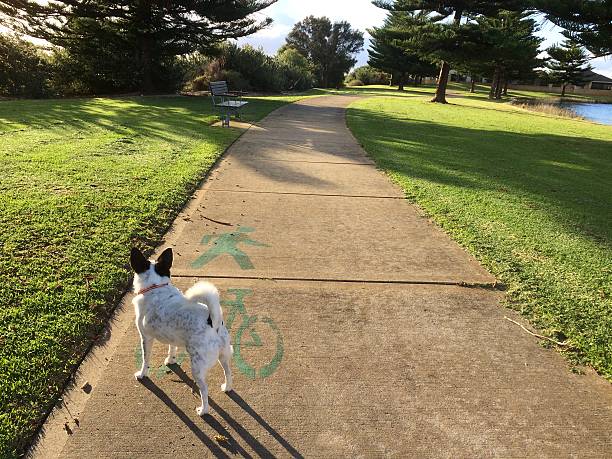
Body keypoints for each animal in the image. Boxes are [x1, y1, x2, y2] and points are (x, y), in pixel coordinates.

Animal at [130, 248, 233, 416]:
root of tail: (213, 322)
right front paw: (170, 360)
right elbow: (172, 348)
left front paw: (142, 374)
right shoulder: (171, 336)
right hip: (223, 355)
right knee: (228, 372)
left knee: (205, 390)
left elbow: (145, 360)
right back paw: (227, 387)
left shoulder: (146, 338)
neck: (155, 287)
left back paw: (203, 410)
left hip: (197, 367)